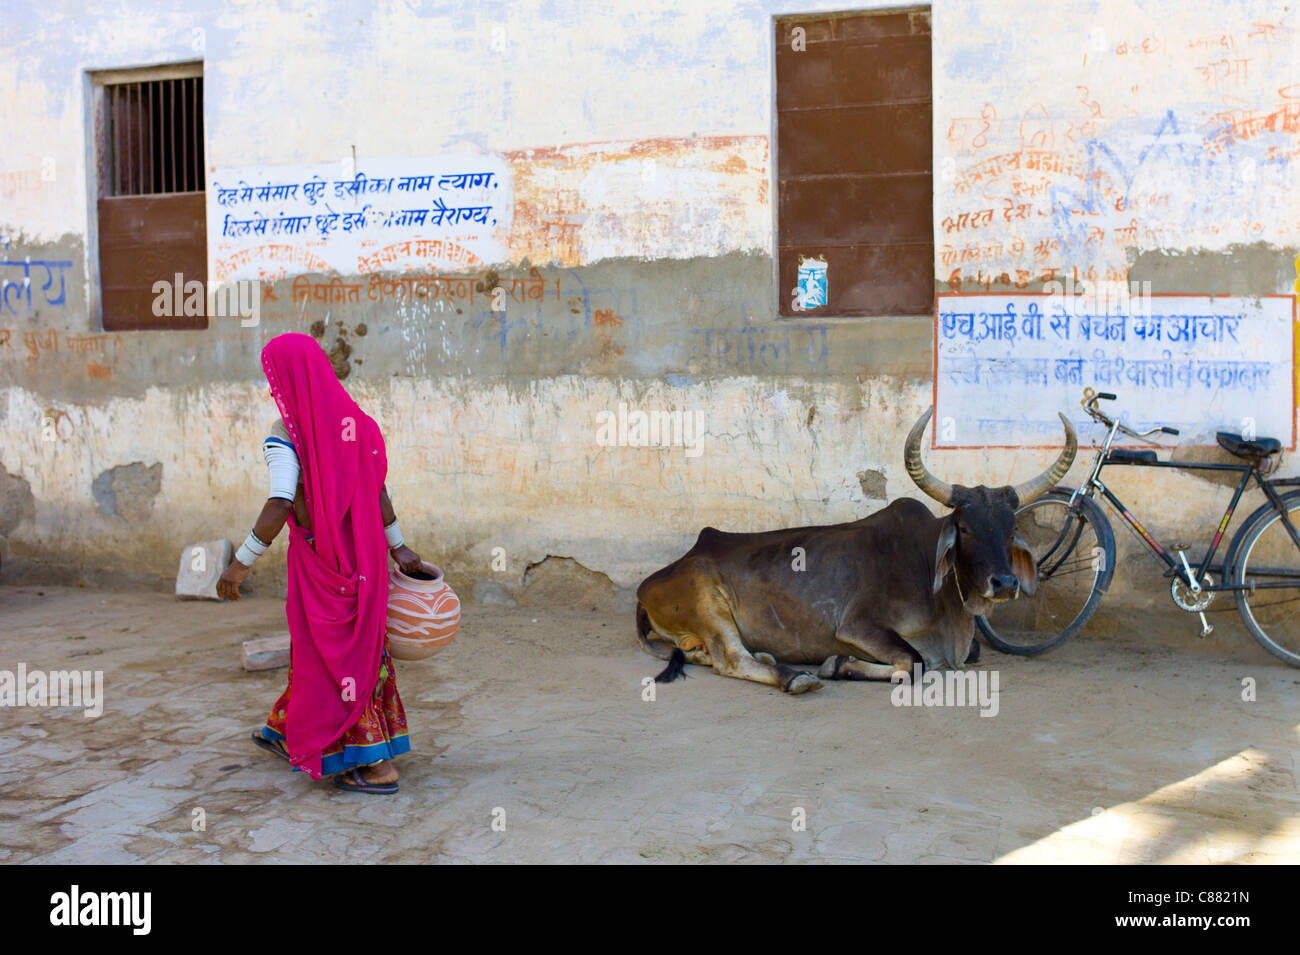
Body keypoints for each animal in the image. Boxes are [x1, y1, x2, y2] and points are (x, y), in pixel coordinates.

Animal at [637, 407, 1076, 691]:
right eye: (965, 528)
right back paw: (794, 676)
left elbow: (971, 653)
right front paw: (836, 664)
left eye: (1011, 528)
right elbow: (915, 664)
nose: (1004, 584)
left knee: (709, 655)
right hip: (708, 601)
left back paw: (768, 659)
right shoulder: (858, 625)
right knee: (730, 659)